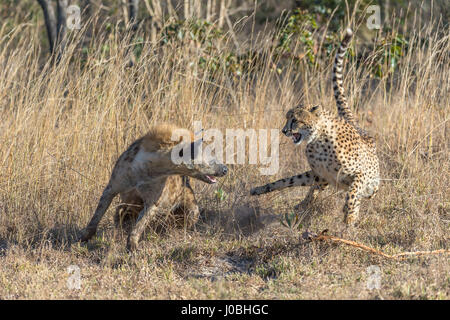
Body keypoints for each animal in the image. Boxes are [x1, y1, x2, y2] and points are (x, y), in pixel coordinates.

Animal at [78, 124, 229, 251]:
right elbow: (97, 214)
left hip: (191, 208)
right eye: (212, 159)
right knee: (121, 214)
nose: (225, 169)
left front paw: (132, 246)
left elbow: (140, 223)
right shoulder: (112, 187)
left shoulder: (154, 200)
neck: (149, 169)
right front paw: (83, 237)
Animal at [250, 29, 380, 225]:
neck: (319, 140)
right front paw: (260, 189)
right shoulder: (319, 174)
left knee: (362, 193)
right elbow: (286, 181)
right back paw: (297, 204)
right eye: (287, 118)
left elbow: (353, 191)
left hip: (373, 185)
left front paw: (349, 215)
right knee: (297, 184)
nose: (284, 131)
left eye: (295, 120)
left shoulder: (359, 174)